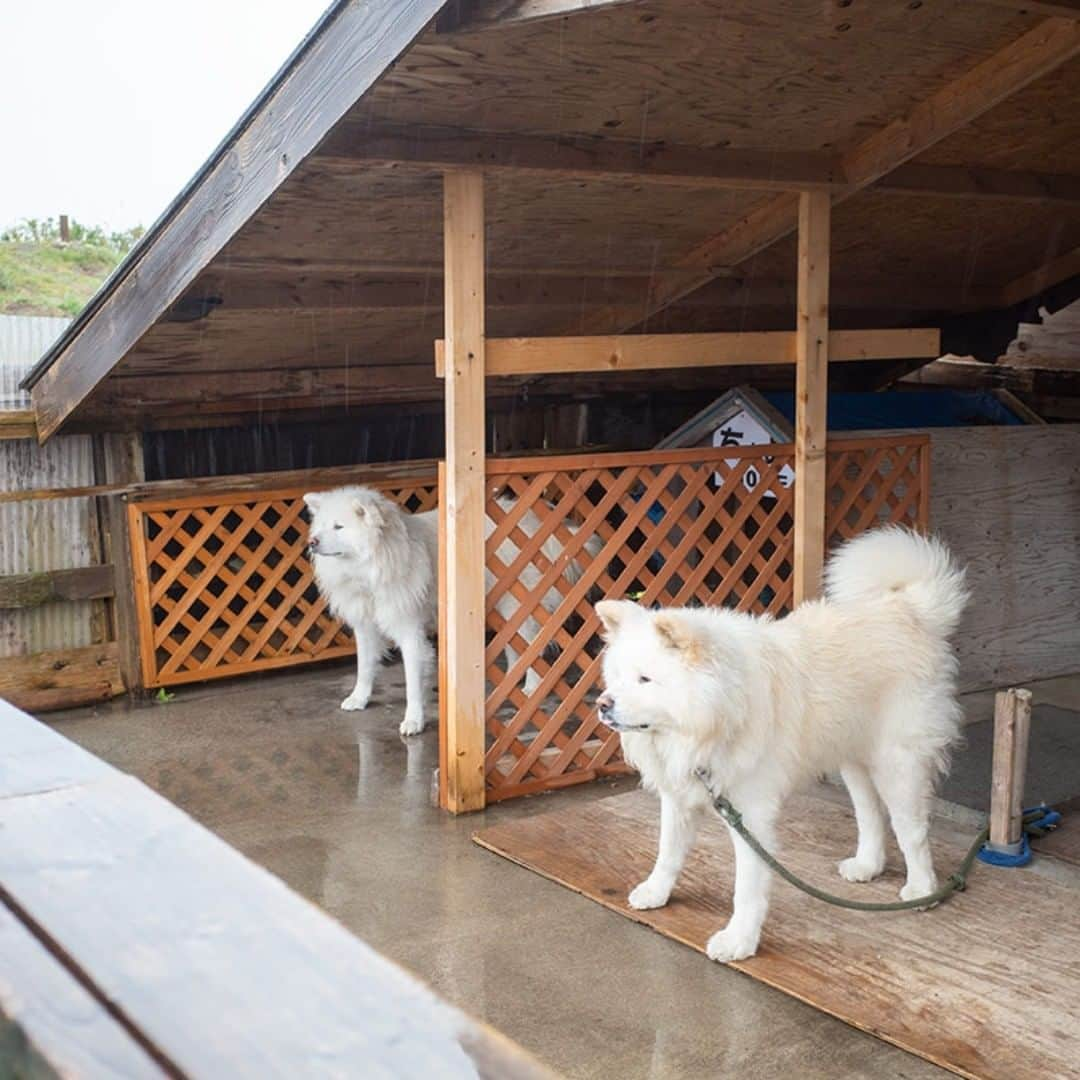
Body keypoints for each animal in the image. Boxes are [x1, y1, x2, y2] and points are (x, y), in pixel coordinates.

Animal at [306, 488, 600, 734]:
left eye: (339, 527)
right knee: (515, 647)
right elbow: (365, 666)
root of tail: (540, 525)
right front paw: (359, 698)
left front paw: (413, 721)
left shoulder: (409, 631)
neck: (371, 567)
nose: (312, 542)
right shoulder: (365, 626)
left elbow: (412, 683)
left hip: (519, 607)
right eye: (322, 526)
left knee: (533, 648)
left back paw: (531, 688)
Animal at [596, 524, 967, 963]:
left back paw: (923, 890)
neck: (713, 714)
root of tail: (907, 609)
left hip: (897, 763)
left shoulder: (750, 815)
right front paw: (655, 892)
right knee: (870, 814)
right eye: (617, 677)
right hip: (853, 759)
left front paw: (738, 942)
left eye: (645, 679)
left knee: (912, 830)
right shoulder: (680, 795)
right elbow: (667, 852)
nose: (602, 705)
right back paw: (866, 866)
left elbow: (747, 890)